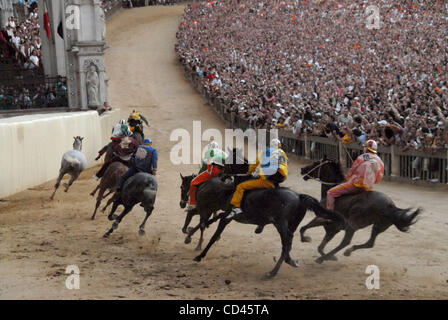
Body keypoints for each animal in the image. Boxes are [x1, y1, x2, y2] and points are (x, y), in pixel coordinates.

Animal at [182, 148, 346, 278]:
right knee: (288, 243)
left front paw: (199, 255)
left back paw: (274, 271)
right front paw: (191, 233)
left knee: (286, 242)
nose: (221, 174)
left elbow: (214, 234)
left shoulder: (228, 217)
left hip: (281, 223)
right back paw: (289, 262)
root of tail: (299, 196)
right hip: (292, 223)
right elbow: (210, 222)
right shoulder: (228, 215)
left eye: (227, 161)